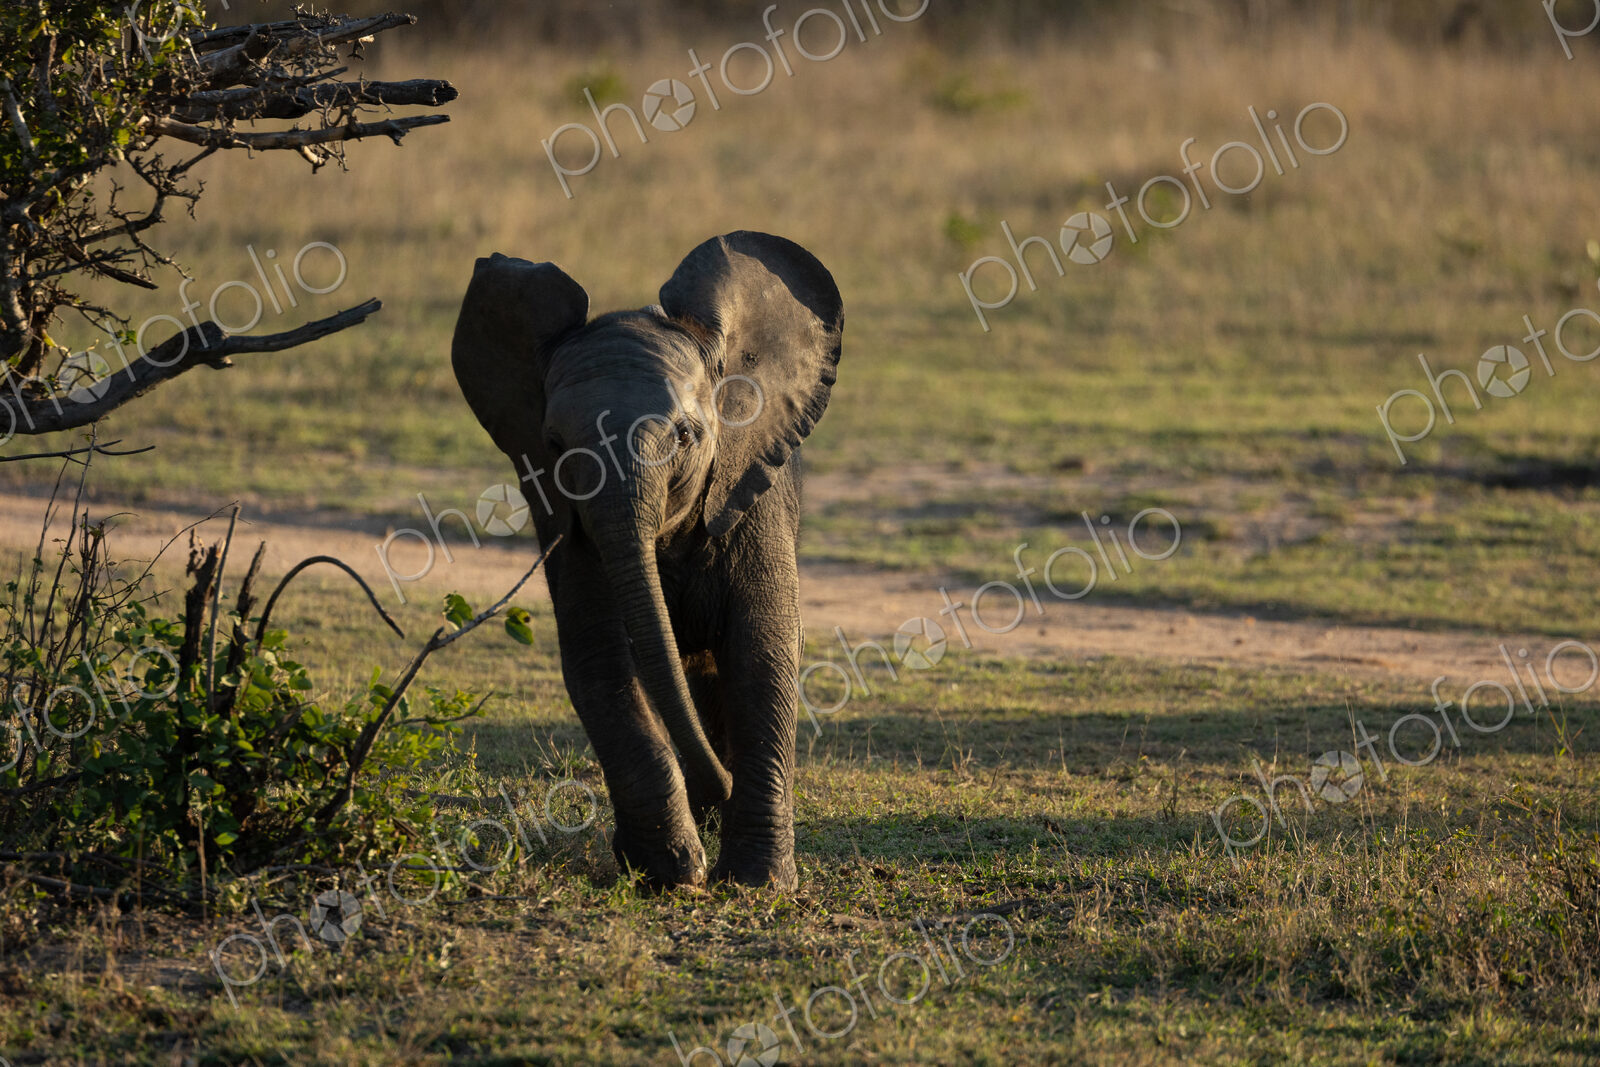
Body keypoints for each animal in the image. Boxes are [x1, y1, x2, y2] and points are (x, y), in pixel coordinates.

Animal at [451, 231, 843, 890]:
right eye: (554, 445)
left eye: (685, 436)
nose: (722, 788)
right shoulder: (565, 523)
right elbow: (600, 658)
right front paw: (672, 870)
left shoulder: (746, 492)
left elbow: (764, 648)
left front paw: (757, 882)